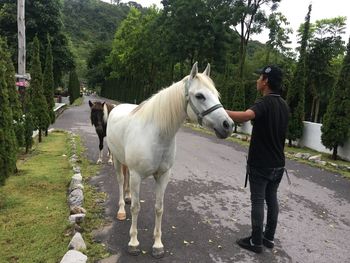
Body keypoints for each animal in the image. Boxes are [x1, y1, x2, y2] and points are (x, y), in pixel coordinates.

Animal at [106, 63, 232, 258]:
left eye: (216, 94)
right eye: (200, 96)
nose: (228, 125)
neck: (156, 135)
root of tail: (117, 108)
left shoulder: (163, 176)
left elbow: (159, 208)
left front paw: (157, 245)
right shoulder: (136, 176)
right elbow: (136, 208)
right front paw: (133, 242)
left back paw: (127, 198)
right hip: (118, 160)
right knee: (120, 181)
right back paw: (121, 210)